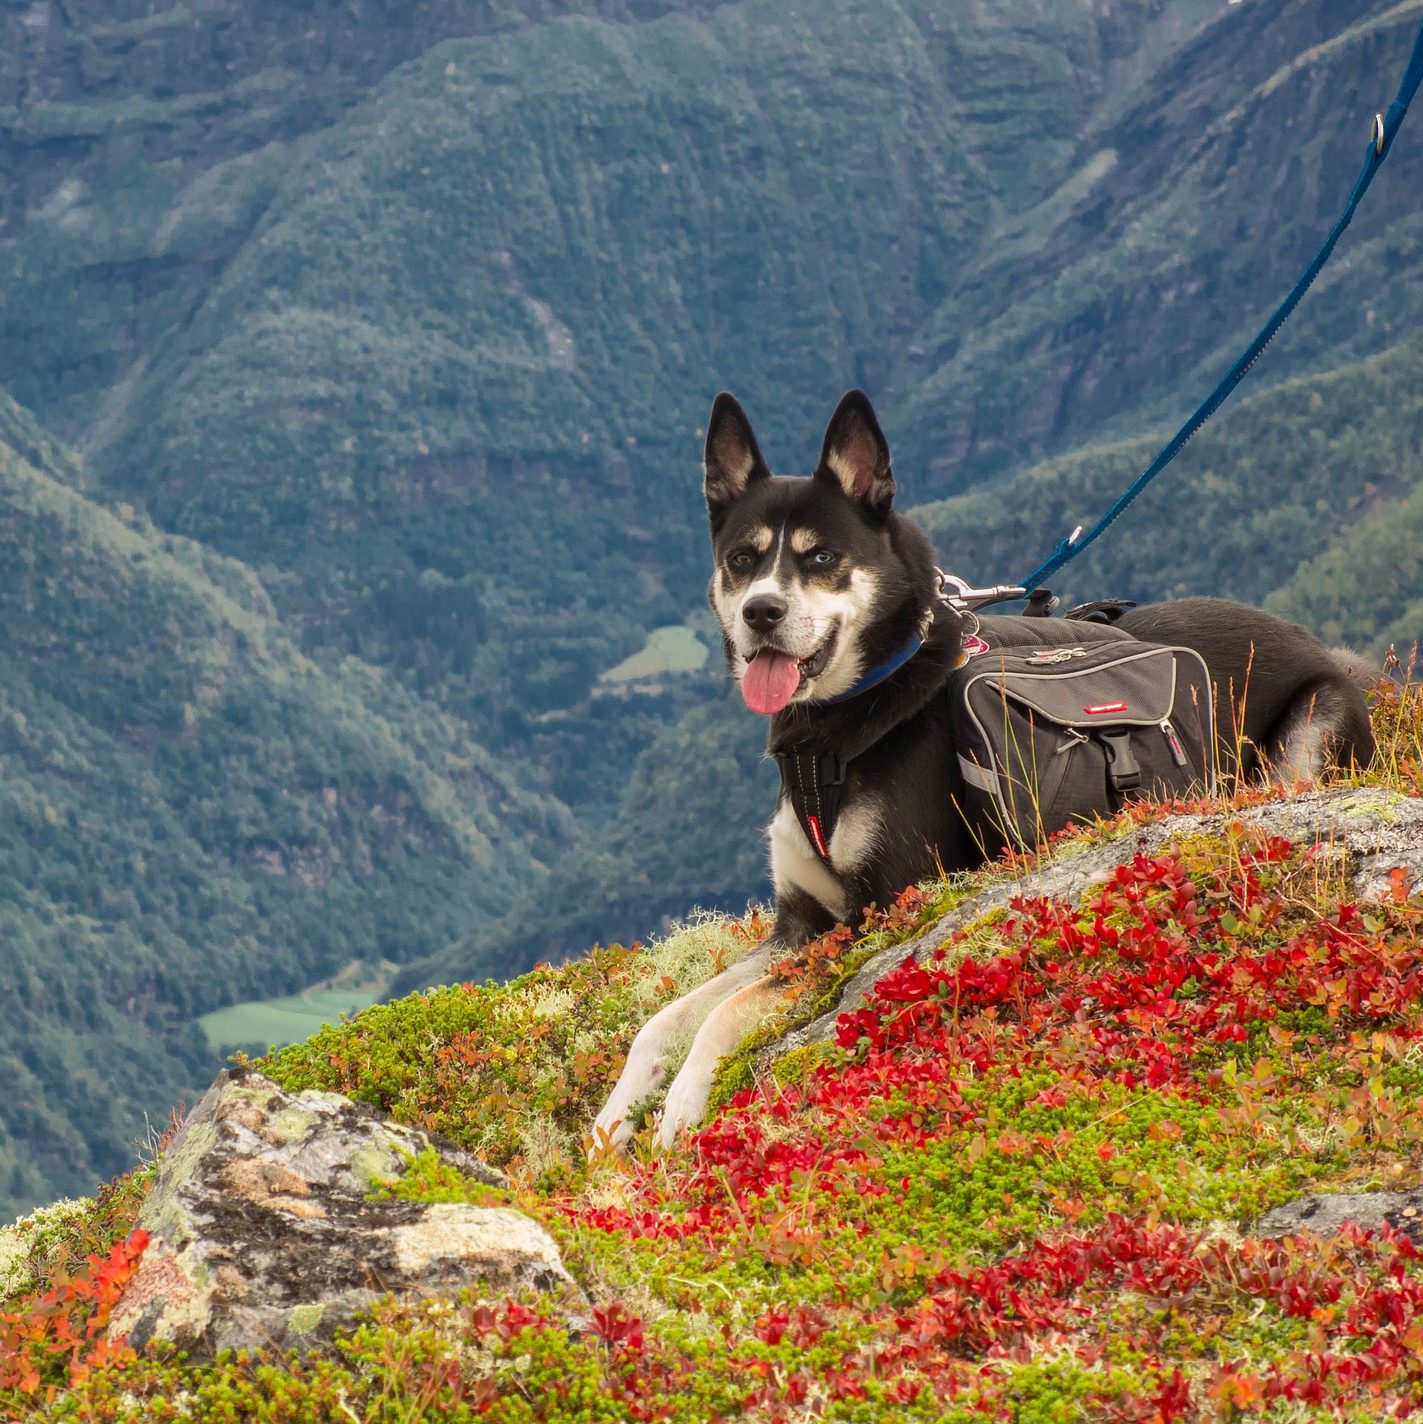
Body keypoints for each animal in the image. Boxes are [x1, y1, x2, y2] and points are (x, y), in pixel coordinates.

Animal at [586, 384, 1367, 1150]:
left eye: (820, 558)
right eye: (743, 560)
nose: (761, 612)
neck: (845, 720)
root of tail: (1321, 645)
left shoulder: (878, 910)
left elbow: (730, 1009)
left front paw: (682, 1104)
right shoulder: (797, 922)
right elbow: (667, 1016)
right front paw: (616, 1117)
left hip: (1306, 733)